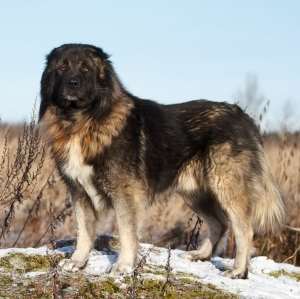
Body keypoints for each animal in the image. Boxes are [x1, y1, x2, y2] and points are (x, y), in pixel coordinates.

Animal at [38, 43, 284, 280]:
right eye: (61, 67)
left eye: (86, 69)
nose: (73, 83)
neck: (81, 121)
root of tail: (243, 115)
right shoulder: (79, 191)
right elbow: (84, 231)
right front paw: (77, 262)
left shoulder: (125, 193)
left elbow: (126, 232)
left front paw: (123, 267)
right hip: (194, 193)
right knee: (219, 223)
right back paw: (202, 255)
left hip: (227, 186)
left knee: (243, 229)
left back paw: (239, 271)